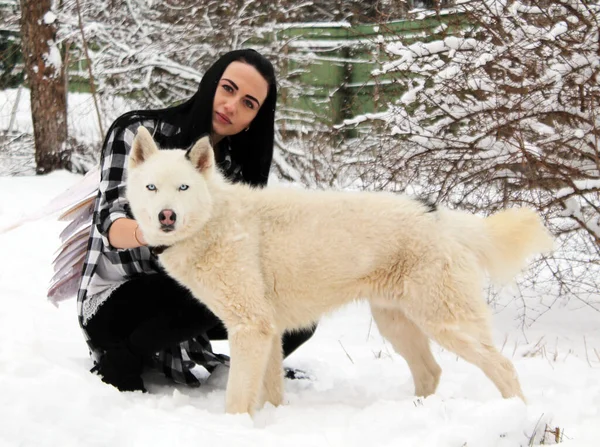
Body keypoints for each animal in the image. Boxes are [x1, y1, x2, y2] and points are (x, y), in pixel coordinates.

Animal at [125, 126, 552, 416]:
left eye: (183, 188)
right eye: (151, 188)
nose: (167, 216)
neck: (216, 218)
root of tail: (440, 216)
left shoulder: (251, 329)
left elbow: (238, 397)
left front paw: (235, 428)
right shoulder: (269, 333)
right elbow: (270, 392)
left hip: (446, 323)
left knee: (503, 367)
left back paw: (517, 415)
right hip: (398, 325)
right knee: (430, 371)